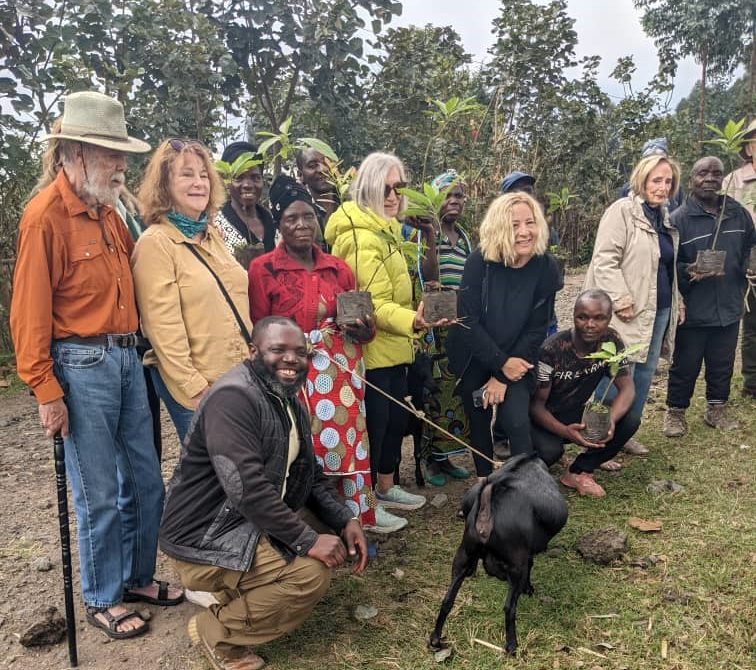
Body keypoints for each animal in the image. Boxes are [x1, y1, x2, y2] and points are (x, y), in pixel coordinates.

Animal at [432, 456, 568, 656]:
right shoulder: (523, 556)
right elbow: (530, 565)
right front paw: (528, 589)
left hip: (462, 557)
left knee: (447, 599)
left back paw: (435, 639)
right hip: (515, 565)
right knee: (509, 608)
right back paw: (511, 645)